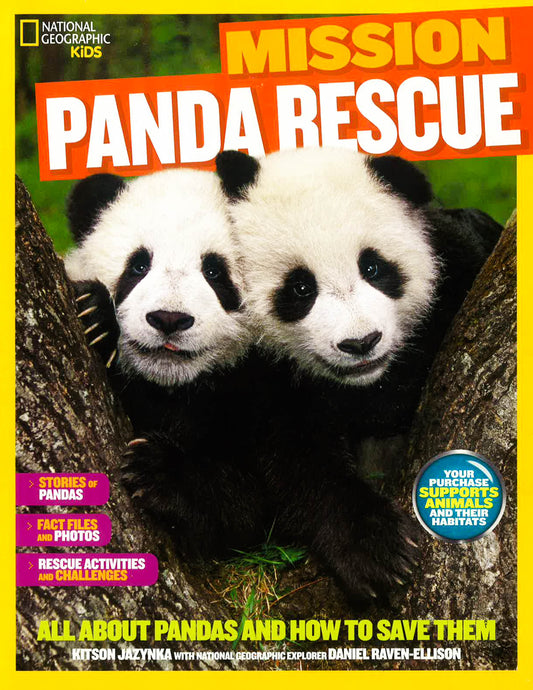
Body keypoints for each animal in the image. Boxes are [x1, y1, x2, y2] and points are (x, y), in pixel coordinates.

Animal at [64, 168, 266, 557]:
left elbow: (251, 507)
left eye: (215, 272)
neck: (169, 385)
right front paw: (94, 315)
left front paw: (159, 470)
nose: (168, 319)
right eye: (139, 265)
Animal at [215, 147, 502, 602]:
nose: (361, 343)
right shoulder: (264, 374)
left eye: (374, 267)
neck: (367, 384)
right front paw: (377, 551)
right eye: (300, 287)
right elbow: (296, 458)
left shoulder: (456, 268)